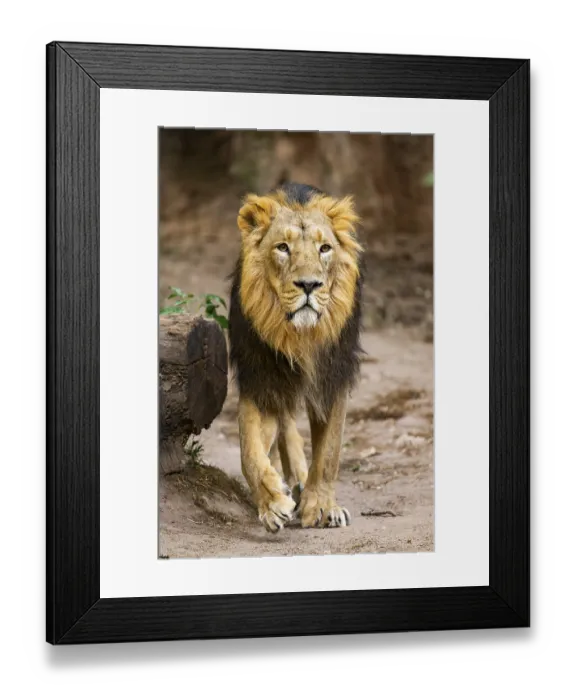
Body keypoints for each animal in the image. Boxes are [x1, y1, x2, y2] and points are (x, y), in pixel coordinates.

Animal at [229, 182, 363, 533]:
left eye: (325, 248)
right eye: (283, 247)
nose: (309, 285)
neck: (301, 336)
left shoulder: (333, 379)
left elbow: (329, 453)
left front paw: (321, 507)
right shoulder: (261, 379)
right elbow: (249, 452)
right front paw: (273, 503)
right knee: (285, 427)